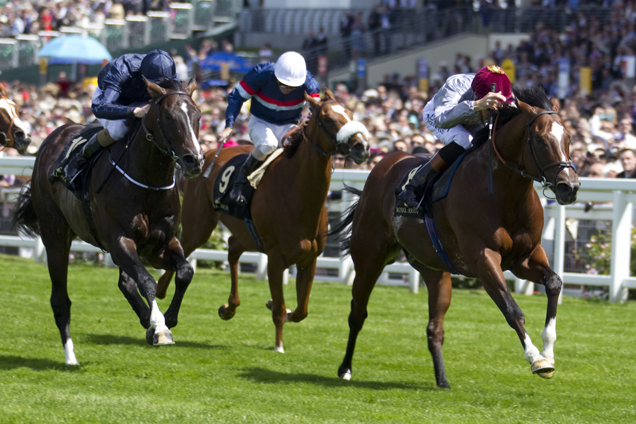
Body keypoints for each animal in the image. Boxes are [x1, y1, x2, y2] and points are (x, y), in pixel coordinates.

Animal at [12, 77, 205, 364]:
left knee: (125, 282)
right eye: (169, 116)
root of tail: (53, 137)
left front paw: (166, 319)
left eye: (198, 115)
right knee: (60, 299)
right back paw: (71, 357)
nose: (194, 160)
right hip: (55, 236)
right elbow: (147, 281)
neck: (148, 183)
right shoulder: (120, 240)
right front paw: (159, 327)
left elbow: (184, 272)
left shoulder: (160, 245)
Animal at [156, 88, 370, 352]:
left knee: (232, 248)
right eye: (328, 118)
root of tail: (208, 154)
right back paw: (160, 290)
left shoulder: (309, 258)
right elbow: (279, 308)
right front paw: (279, 345)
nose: (361, 146)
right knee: (184, 247)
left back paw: (228, 307)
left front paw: (281, 313)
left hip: (246, 234)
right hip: (199, 227)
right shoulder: (276, 258)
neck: (297, 192)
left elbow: (301, 310)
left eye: (350, 112)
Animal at [332, 86, 580, 388]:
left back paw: (442, 380)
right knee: (357, 313)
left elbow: (554, 283)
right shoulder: (483, 258)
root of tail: (383, 165)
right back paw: (345, 368)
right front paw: (536, 359)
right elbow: (512, 310)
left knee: (434, 328)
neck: (504, 193)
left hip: (434, 270)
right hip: (369, 258)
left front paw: (549, 352)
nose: (570, 187)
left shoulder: (524, 257)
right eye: (541, 139)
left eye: (569, 138)